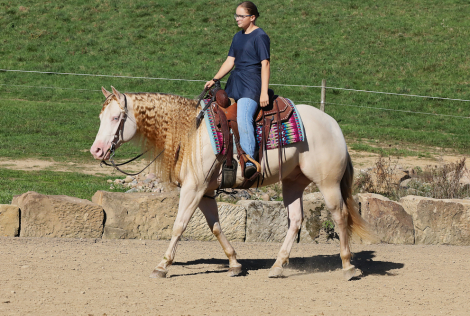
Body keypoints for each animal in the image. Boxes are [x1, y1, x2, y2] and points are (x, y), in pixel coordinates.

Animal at [91, 86, 370, 278]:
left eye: (116, 118)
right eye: (100, 117)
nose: (96, 150)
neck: (191, 132)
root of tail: (333, 124)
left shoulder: (193, 189)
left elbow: (179, 226)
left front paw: (162, 265)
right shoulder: (204, 191)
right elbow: (215, 227)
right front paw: (235, 262)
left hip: (328, 183)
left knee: (340, 216)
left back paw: (348, 266)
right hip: (293, 182)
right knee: (296, 220)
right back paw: (277, 266)